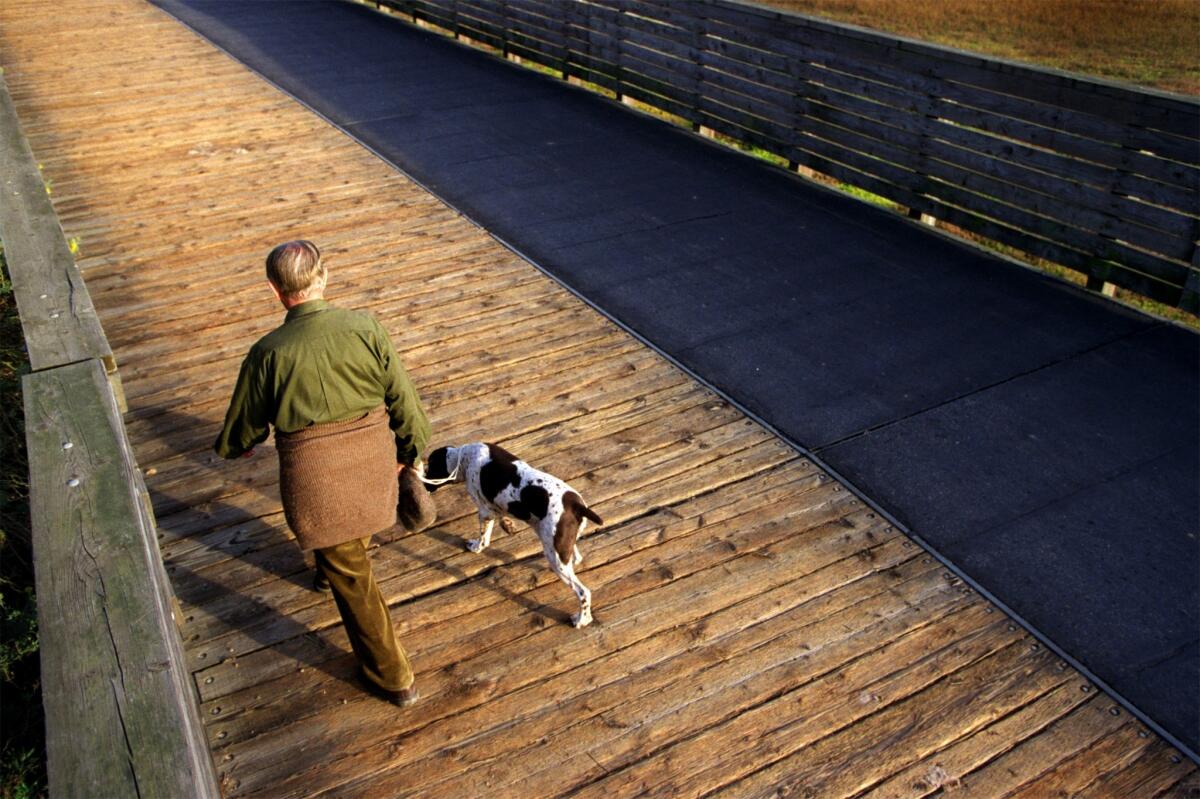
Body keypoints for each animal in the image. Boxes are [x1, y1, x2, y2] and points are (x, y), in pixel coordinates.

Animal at [427, 441, 604, 623]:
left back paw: (581, 620)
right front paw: (508, 525)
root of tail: (577, 506)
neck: (464, 457)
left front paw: (476, 547)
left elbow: (483, 538)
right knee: (576, 557)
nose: (425, 486)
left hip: (555, 557)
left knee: (583, 592)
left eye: (429, 467)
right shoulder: (494, 508)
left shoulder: (484, 511)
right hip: (561, 546)